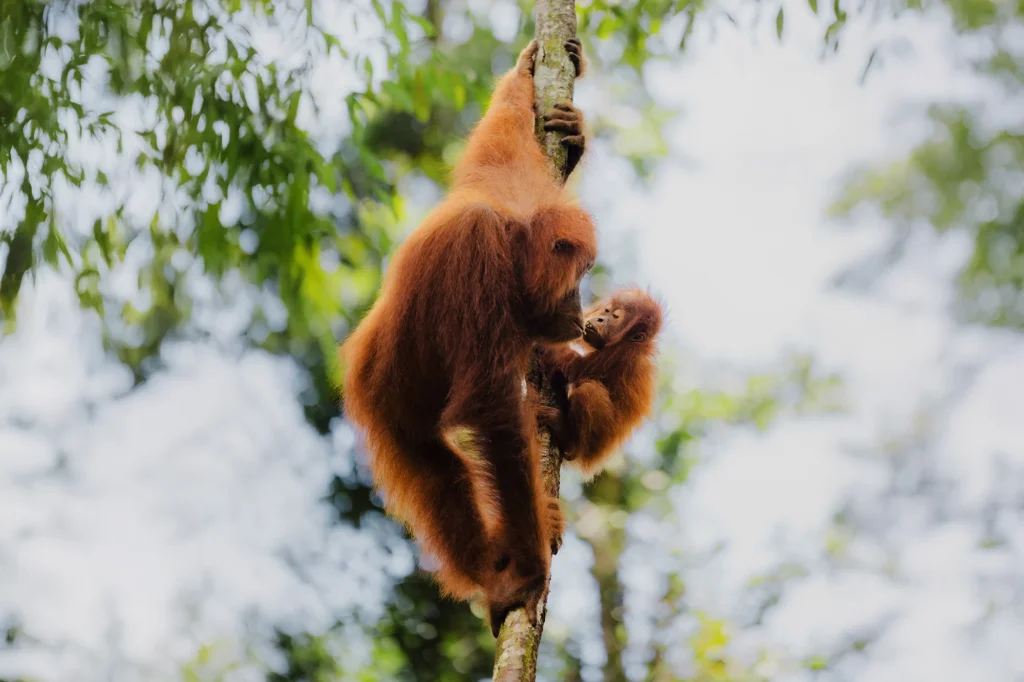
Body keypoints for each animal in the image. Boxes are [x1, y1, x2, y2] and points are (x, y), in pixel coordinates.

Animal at [340, 39, 594, 636]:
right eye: (576, 281)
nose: (578, 314)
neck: (510, 235)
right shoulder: (476, 250)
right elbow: (492, 410)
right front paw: (528, 568)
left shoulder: (502, 181)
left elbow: (498, 141)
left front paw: (540, 89)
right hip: (382, 404)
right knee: (441, 475)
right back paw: (492, 573)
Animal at [534, 288, 664, 479]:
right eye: (606, 311)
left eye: (615, 317)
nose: (600, 318)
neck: (632, 344)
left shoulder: (618, 355)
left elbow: (574, 367)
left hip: (596, 442)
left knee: (589, 390)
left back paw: (566, 435)